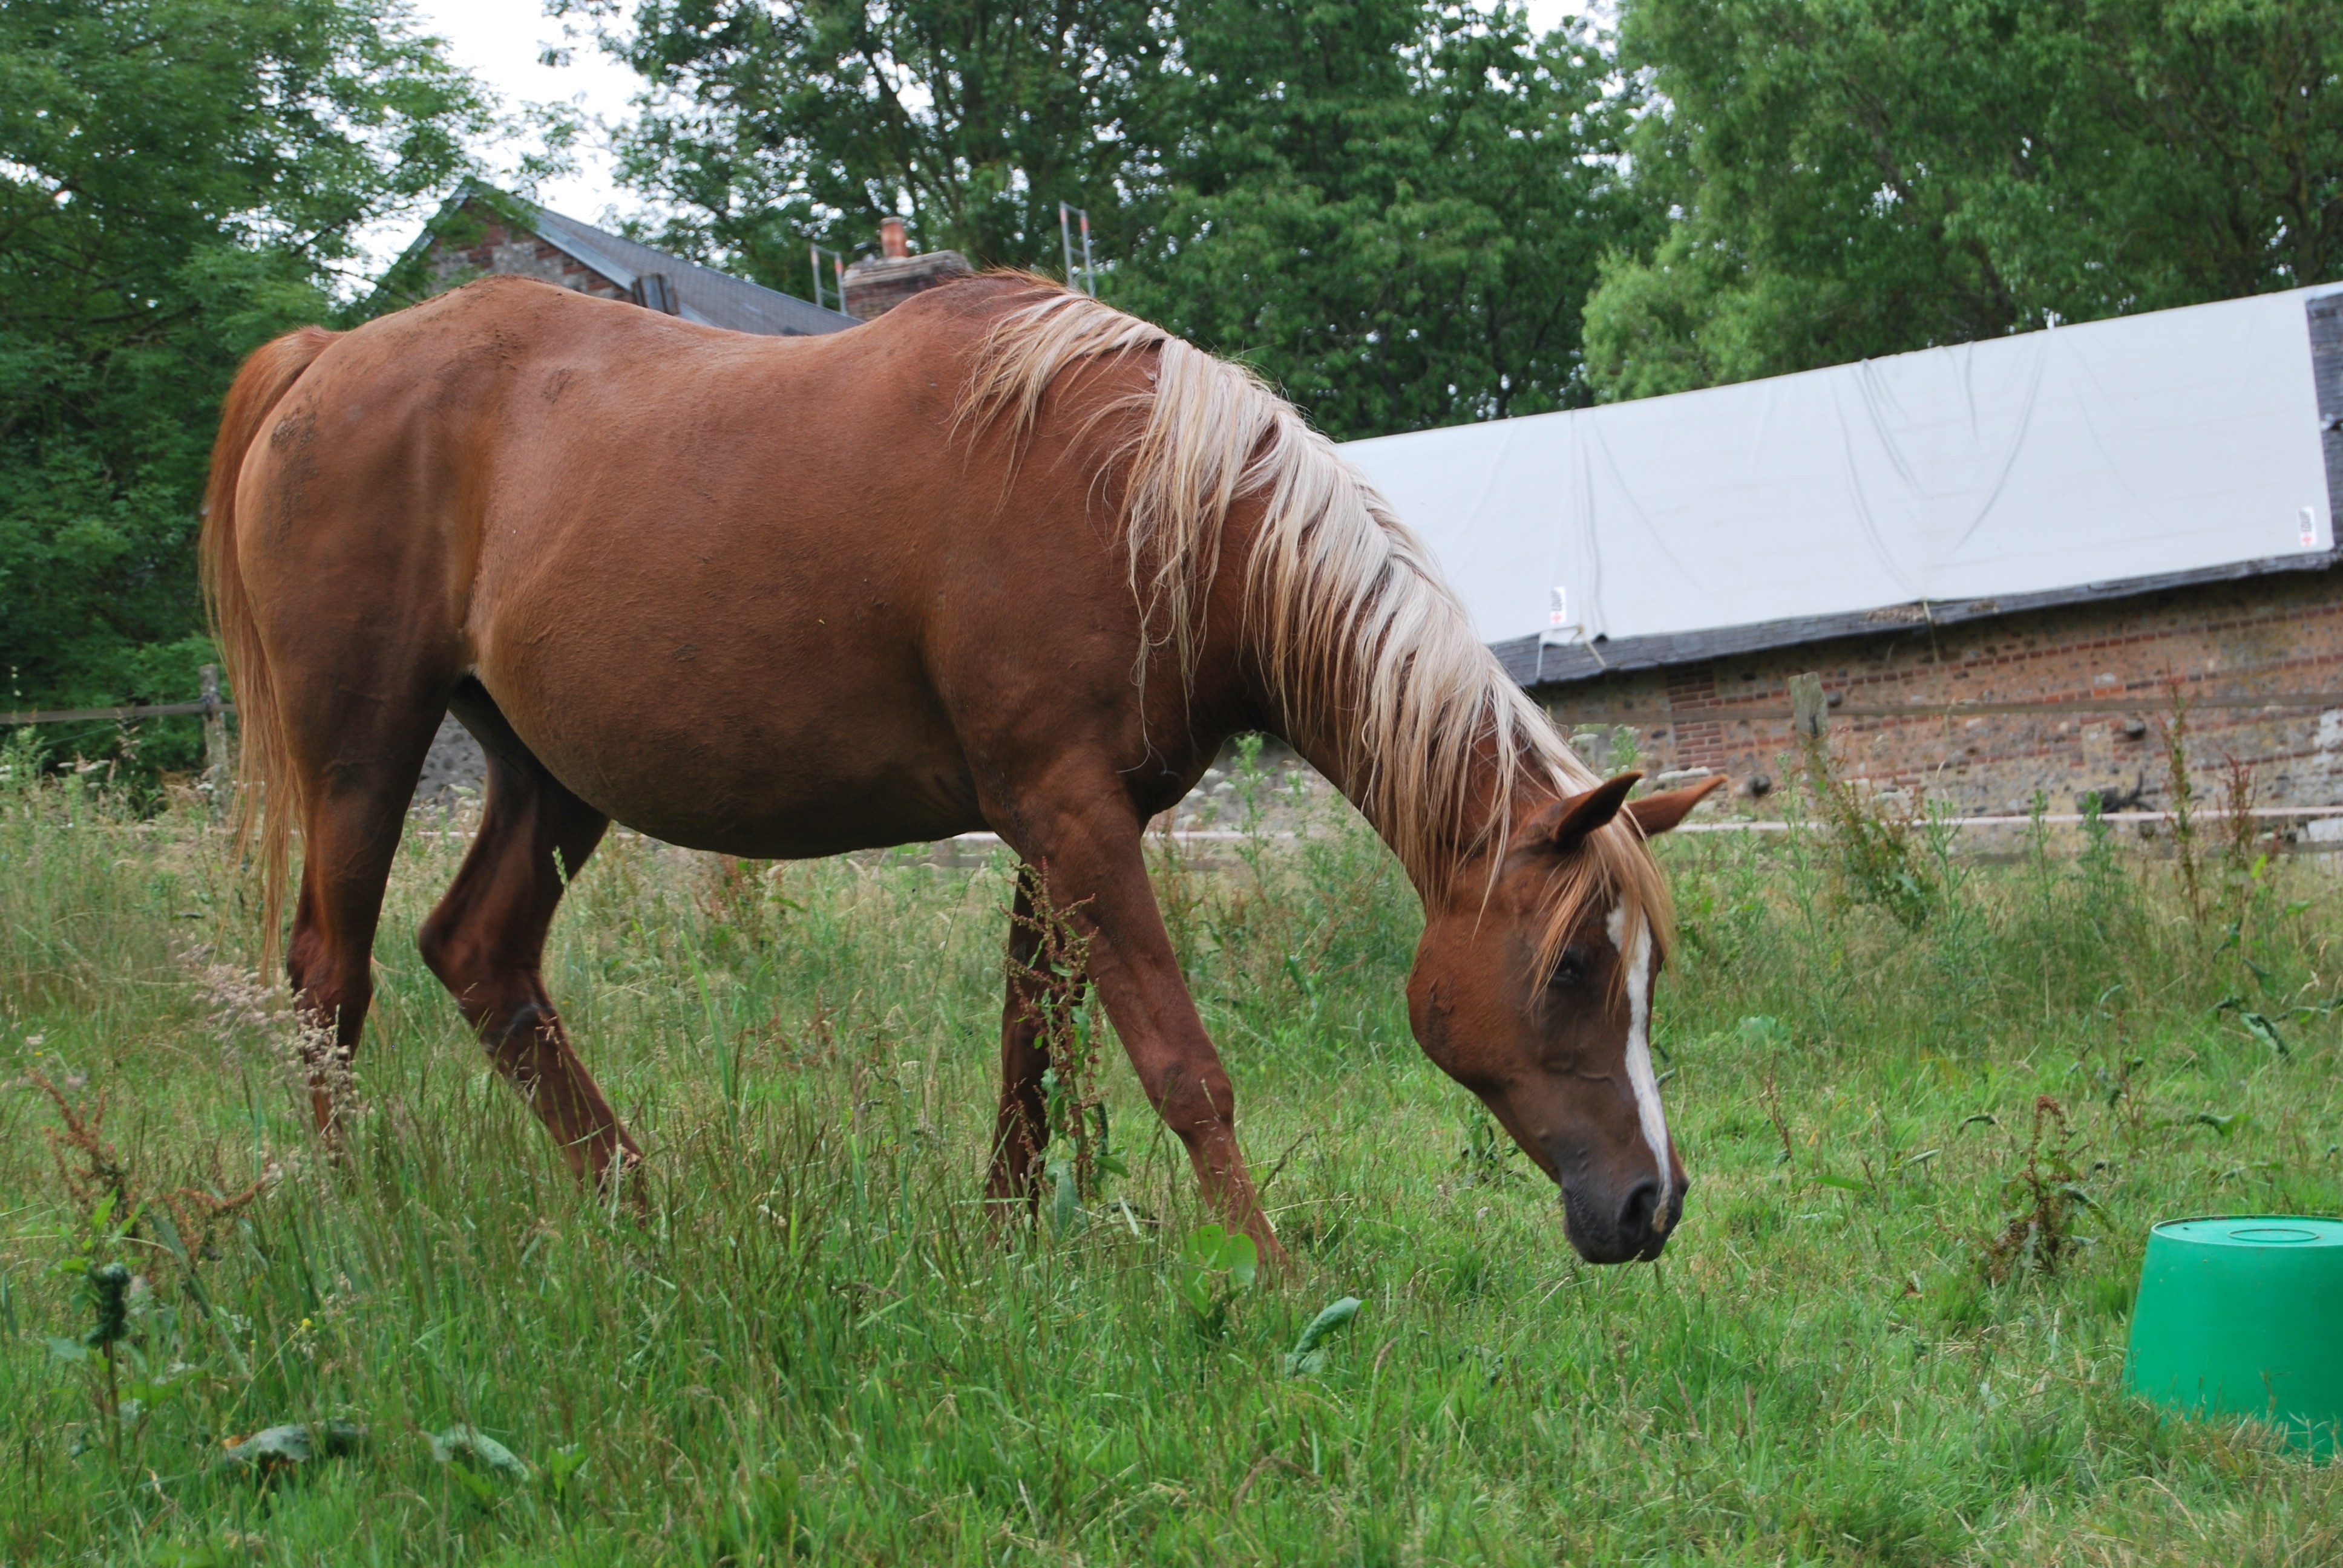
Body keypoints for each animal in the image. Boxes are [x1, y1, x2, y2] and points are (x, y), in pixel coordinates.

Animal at [206, 275, 1724, 1266]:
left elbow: (1028, 1045)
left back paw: (645, 1211)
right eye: (1572, 968)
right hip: (361, 750)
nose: (1650, 1206)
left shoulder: (1057, 824)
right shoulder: (1071, 813)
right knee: (328, 975)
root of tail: (322, 357)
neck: (1145, 497)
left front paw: (1001, 1249)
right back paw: (351, 1219)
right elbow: (1180, 1064)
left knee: (481, 956)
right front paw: (1269, 1271)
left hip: (548, 776)